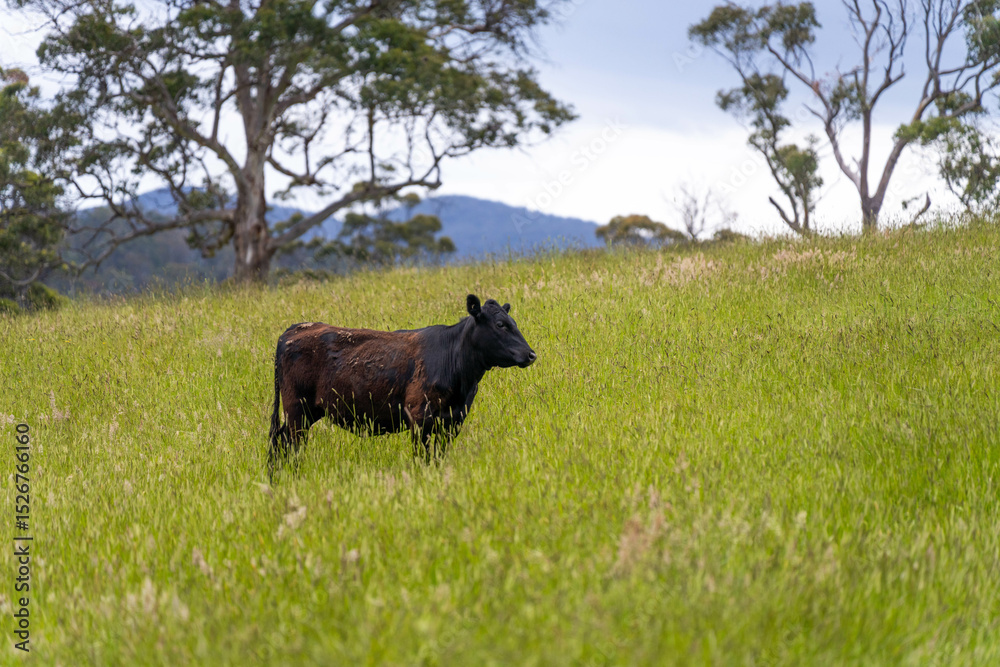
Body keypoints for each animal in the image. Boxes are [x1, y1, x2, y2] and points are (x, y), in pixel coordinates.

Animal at [268, 294, 536, 479]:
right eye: (500, 325)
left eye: (512, 321)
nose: (531, 354)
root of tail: (295, 329)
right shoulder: (419, 417)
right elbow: (422, 457)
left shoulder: (453, 420)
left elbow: (439, 457)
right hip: (296, 410)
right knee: (290, 444)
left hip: (308, 412)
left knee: (279, 440)